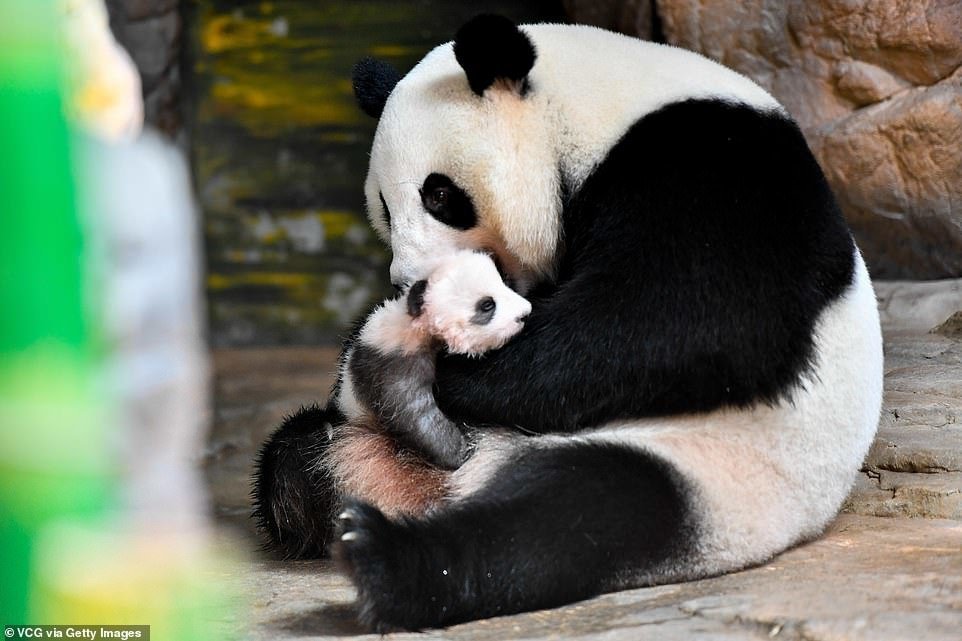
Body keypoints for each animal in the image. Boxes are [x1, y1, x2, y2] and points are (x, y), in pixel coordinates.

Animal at [251, 13, 880, 632]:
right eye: (384, 206)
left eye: (439, 194)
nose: (408, 284)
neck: (594, 109)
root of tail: (451, 484)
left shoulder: (714, 167)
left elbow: (688, 321)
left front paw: (447, 372)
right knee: (297, 455)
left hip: (719, 471)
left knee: (574, 517)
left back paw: (385, 563)